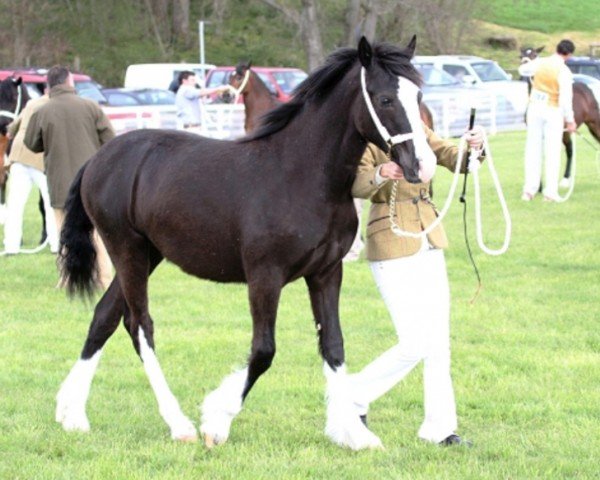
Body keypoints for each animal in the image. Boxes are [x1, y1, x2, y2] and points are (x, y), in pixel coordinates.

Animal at [54, 36, 434, 450]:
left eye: (419, 95)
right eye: (385, 99)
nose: (422, 165)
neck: (301, 176)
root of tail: (96, 160)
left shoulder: (326, 273)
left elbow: (333, 345)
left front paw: (353, 431)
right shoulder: (265, 276)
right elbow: (264, 350)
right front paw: (217, 421)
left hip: (146, 255)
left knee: (103, 317)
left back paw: (72, 413)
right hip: (128, 251)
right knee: (139, 325)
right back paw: (179, 424)